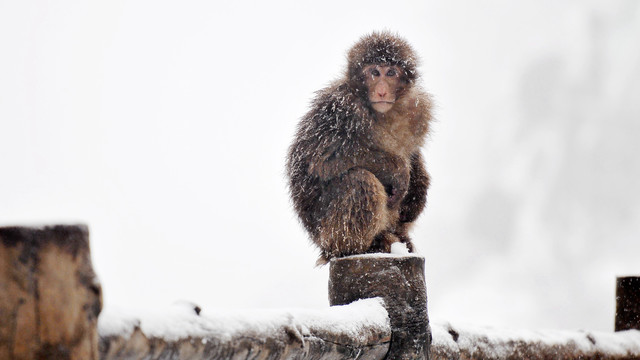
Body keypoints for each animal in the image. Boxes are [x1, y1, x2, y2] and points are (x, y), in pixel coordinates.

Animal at [288, 31, 432, 264]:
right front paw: (398, 170)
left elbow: (413, 156)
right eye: (374, 72)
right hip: (327, 233)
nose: (381, 91)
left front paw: (415, 179)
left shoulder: (418, 111)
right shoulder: (341, 110)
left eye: (390, 72)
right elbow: (324, 161)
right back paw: (360, 247)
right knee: (359, 180)